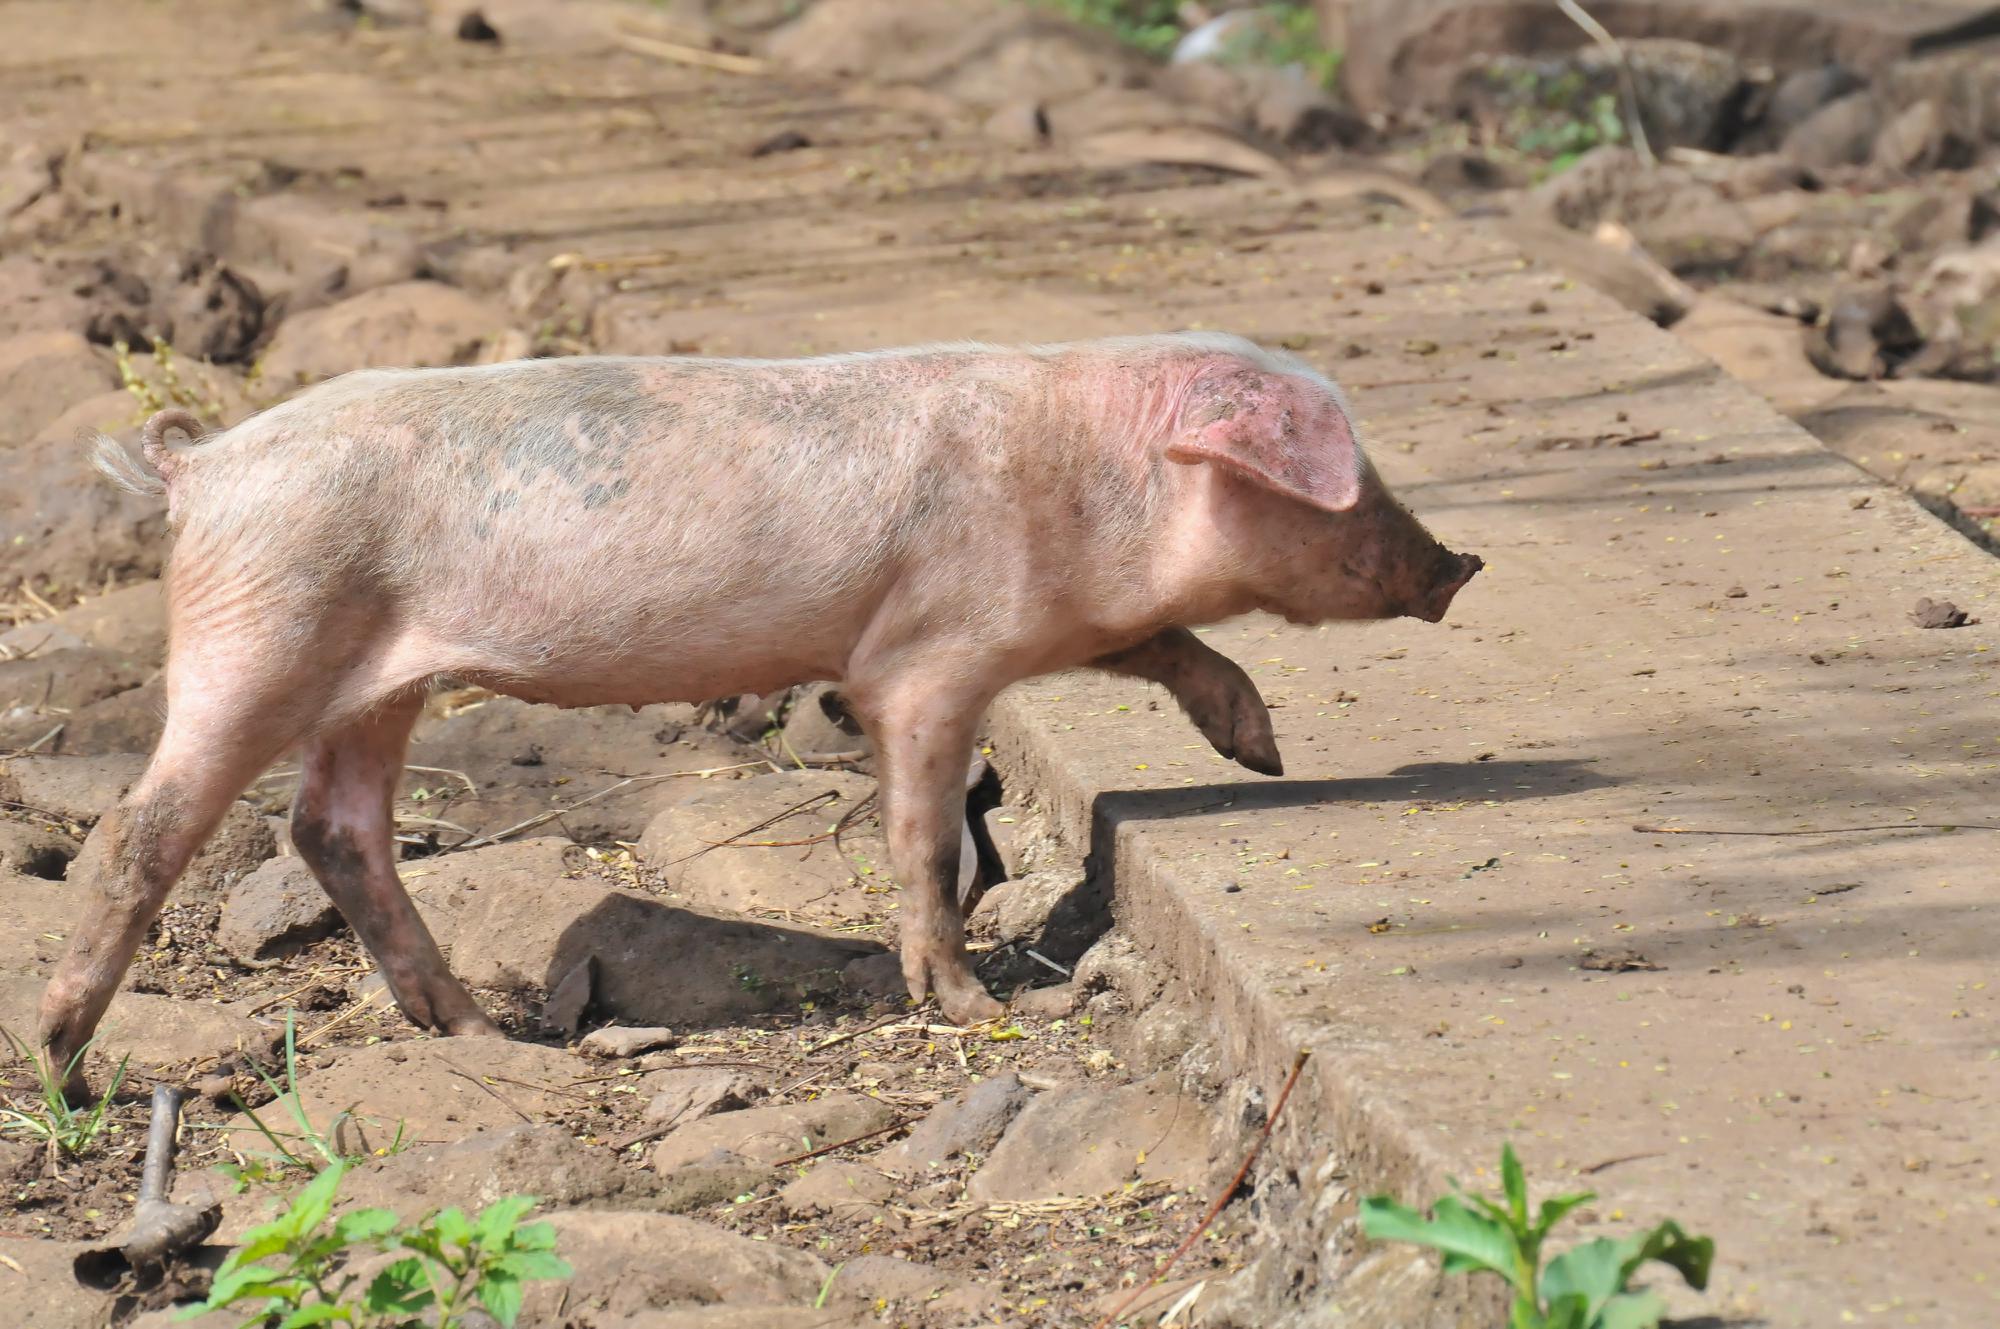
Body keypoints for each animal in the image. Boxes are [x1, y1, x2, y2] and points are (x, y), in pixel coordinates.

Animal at [39, 334, 1480, 1072]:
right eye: (1340, 474)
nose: (1459, 561)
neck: (1097, 483)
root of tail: (202, 464)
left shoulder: (1054, 627)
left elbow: (1168, 642)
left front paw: (1262, 751)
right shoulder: (927, 659)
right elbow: (925, 835)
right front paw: (988, 1011)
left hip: (378, 679)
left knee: (332, 828)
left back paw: (484, 1029)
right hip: (262, 626)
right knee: (140, 830)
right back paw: (65, 1058)